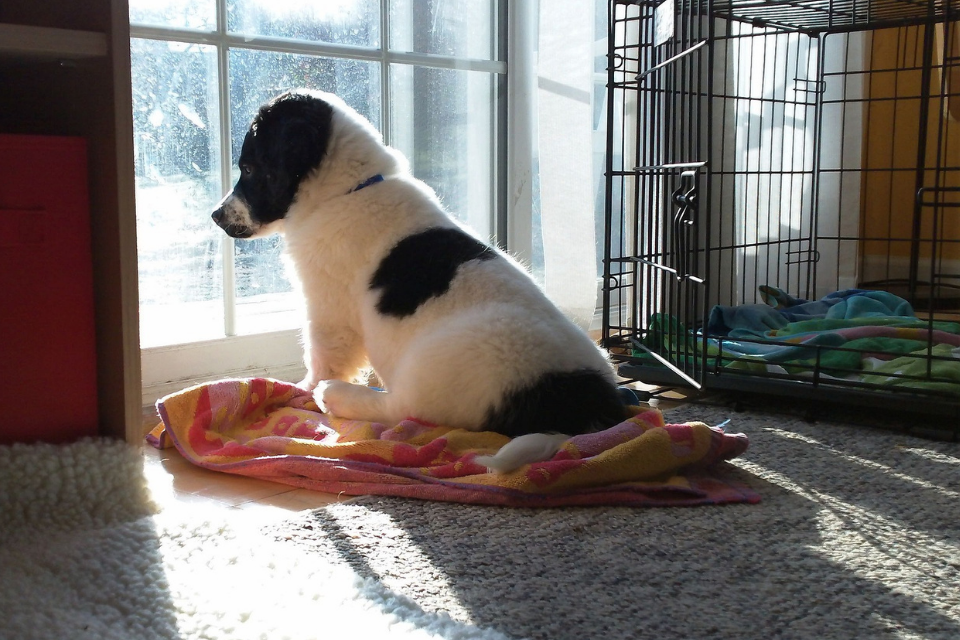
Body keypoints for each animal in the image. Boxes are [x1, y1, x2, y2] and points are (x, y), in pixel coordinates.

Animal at [213, 89, 628, 470]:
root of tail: (586, 405)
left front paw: (304, 389)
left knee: (400, 411)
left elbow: (322, 354)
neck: (348, 189)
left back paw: (335, 396)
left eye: (248, 168)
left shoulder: (327, 305)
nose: (215, 216)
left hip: (429, 368)